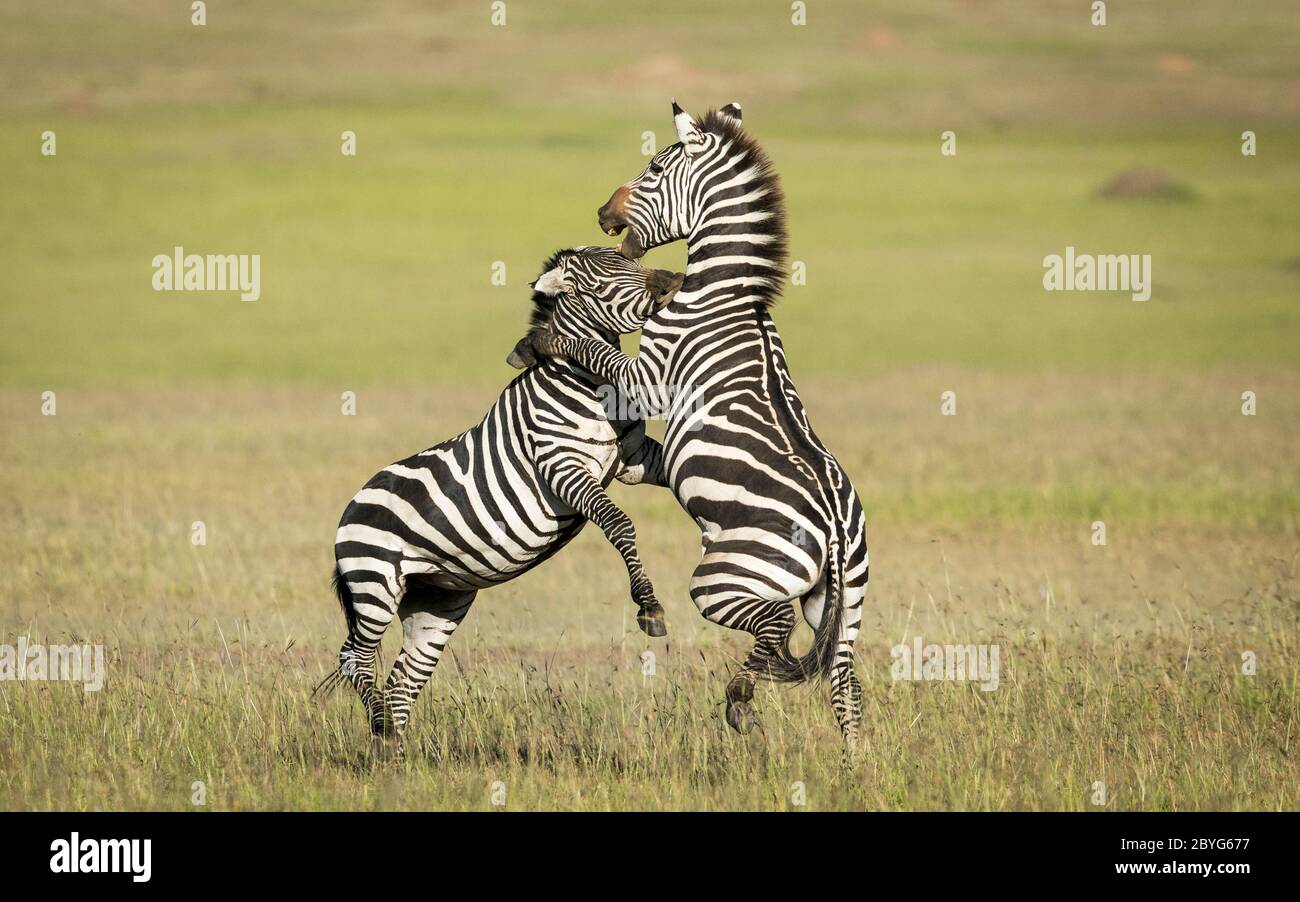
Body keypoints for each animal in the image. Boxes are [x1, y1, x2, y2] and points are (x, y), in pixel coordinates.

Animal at [327, 246, 681, 753]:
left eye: (629, 260)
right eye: (601, 282)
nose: (674, 282)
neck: (587, 384)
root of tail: (351, 506)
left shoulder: (632, 460)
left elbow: (674, 470)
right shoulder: (561, 468)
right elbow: (619, 524)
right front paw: (649, 606)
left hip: (437, 600)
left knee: (403, 679)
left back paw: (396, 752)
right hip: (375, 584)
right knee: (353, 657)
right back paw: (379, 728)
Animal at [512, 98, 868, 753]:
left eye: (655, 165)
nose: (601, 212)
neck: (722, 295)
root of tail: (833, 529)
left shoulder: (644, 377)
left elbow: (592, 352)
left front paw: (546, 339)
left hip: (724, 580)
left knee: (776, 628)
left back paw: (741, 698)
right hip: (842, 600)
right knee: (845, 684)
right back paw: (858, 766)